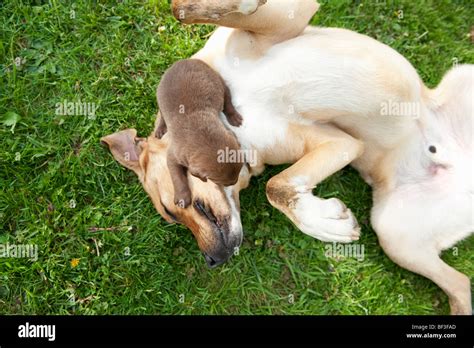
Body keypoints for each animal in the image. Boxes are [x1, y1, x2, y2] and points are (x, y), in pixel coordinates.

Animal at [156, 58, 244, 208]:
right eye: (223, 183)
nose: (234, 183)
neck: (200, 131)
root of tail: (186, 60)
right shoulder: (173, 156)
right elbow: (177, 177)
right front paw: (182, 197)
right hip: (159, 96)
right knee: (162, 114)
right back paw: (160, 129)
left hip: (217, 80)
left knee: (227, 98)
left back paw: (234, 116)